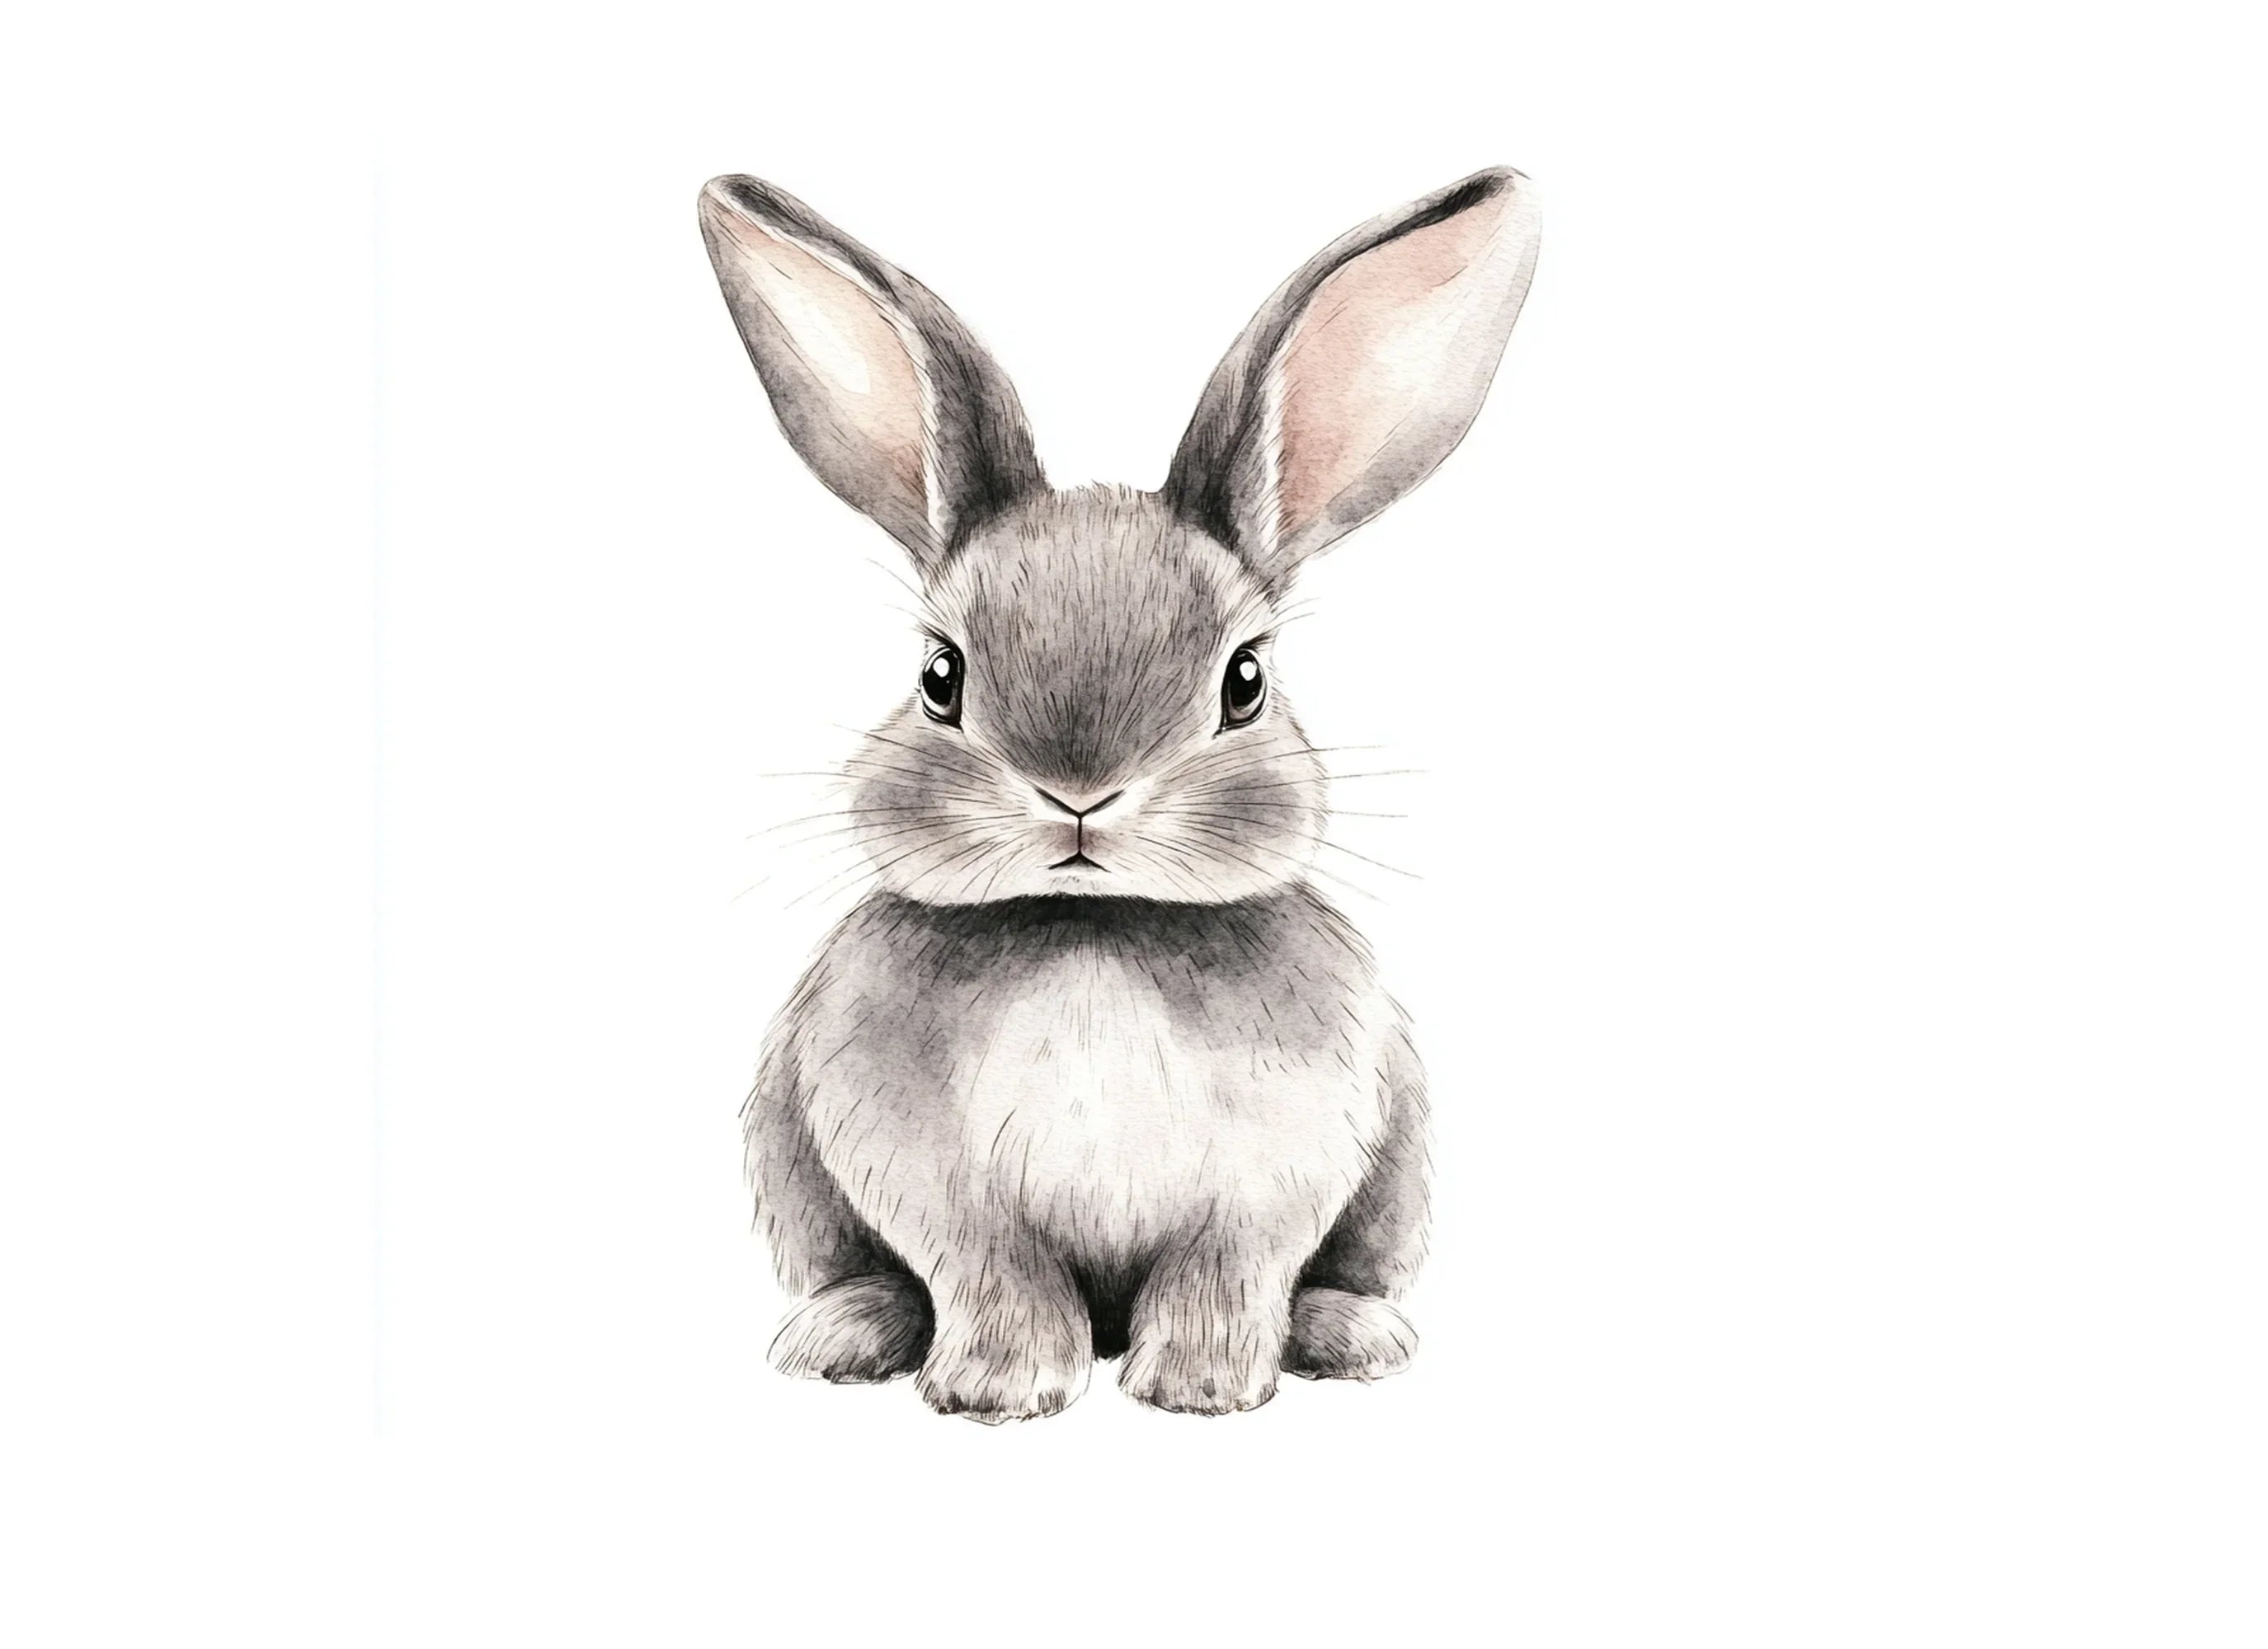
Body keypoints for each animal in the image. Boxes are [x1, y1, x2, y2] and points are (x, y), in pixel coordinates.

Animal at [700, 166, 1539, 1421]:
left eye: (1245, 681)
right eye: (938, 676)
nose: (1079, 795)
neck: (1090, 927)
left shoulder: (1267, 1189)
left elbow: (1224, 1277)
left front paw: (1201, 1389)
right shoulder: (936, 1189)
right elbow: (993, 1273)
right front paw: (998, 1391)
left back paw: (1349, 1336)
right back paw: (843, 1333)